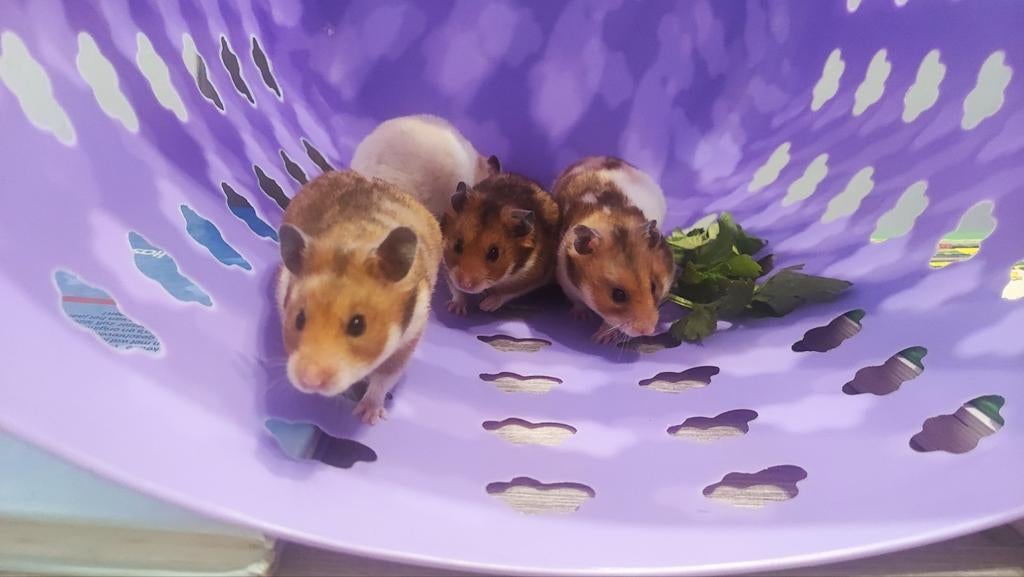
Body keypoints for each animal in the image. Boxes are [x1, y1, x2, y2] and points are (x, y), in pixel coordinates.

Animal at [276, 170, 442, 425]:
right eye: (299, 319)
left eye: (358, 325)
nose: (309, 381)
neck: (353, 241)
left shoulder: (407, 342)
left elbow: (383, 379)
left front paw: (367, 417)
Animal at [440, 173, 561, 314]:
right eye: (457, 245)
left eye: (494, 254)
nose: (465, 284)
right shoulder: (447, 267)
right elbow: (455, 289)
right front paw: (455, 310)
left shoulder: (534, 276)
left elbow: (506, 293)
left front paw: (485, 306)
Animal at [553, 156, 675, 344]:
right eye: (618, 295)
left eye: (654, 287)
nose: (649, 331)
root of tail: (594, 157)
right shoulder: (566, 281)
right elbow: (578, 302)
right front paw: (580, 318)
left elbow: (611, 322)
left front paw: (601, 338)